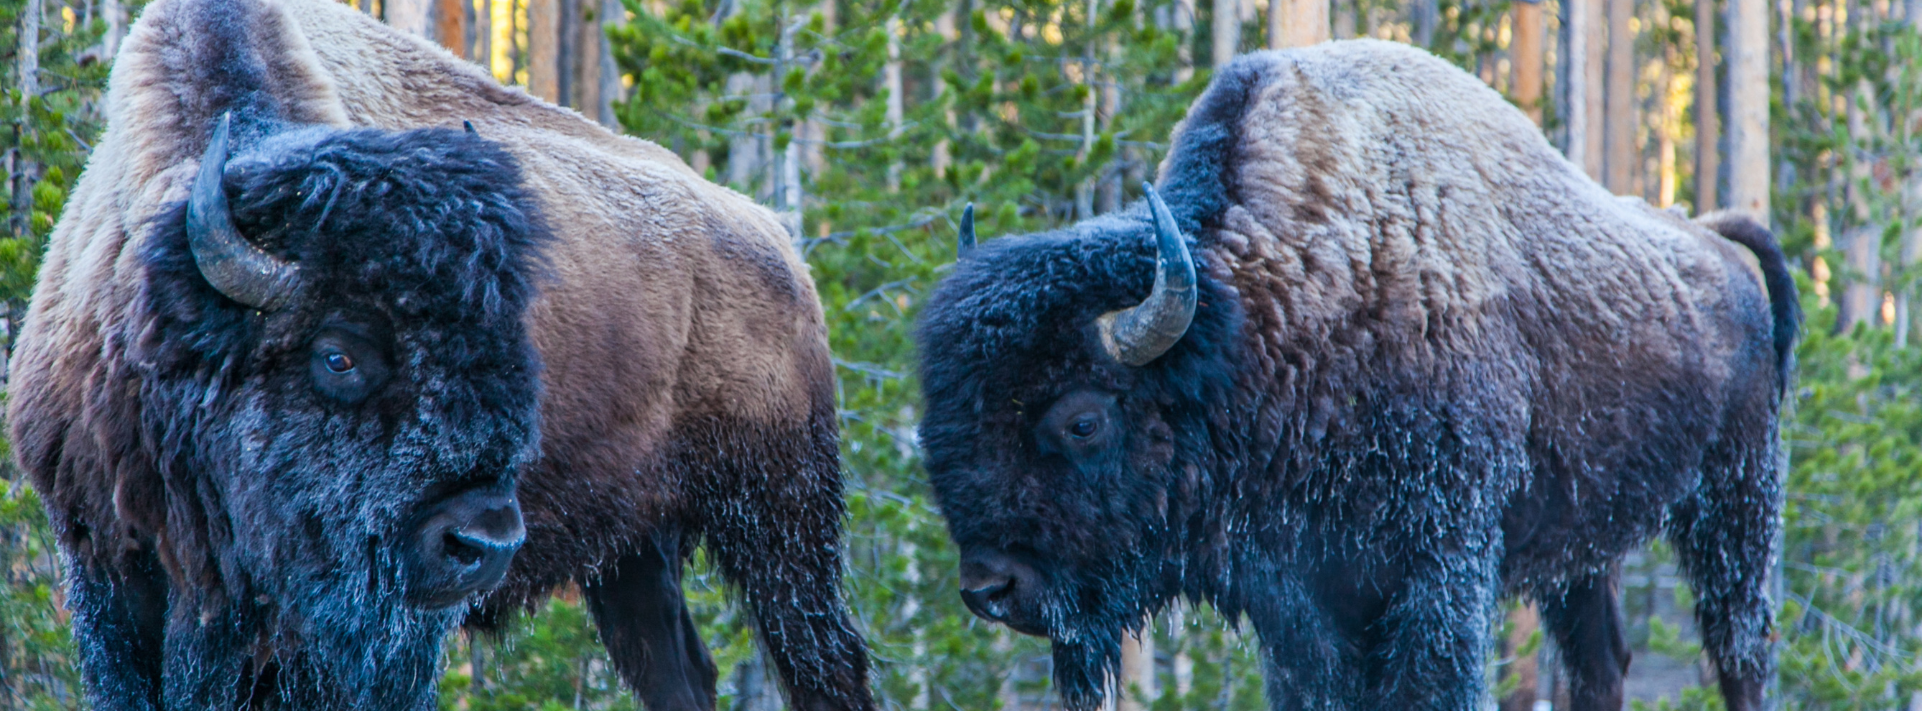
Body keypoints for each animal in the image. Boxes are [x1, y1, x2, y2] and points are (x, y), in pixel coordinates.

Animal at [7, 1, 876, 711]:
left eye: (514, 351)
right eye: (338, 356)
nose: (483, 544)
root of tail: (779, 244)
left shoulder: (363, 628)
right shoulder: (110, 568)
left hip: (781, 520)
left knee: (827, 666)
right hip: (635, 553)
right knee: (681, 671)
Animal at [914, 41, 1783, 711]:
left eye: (1083, 420)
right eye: (935, 423)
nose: (989, 588)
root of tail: (1711, 239)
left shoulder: (1436, 577)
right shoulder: (1300, 605)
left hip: (1735, 500)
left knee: (1741, 647)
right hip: (1585, 548)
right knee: (1601, 663)